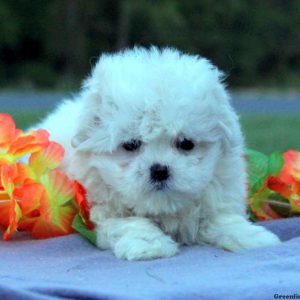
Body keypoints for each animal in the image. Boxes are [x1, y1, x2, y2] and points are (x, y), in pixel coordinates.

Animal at [35, 47, 282, 260]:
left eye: (186, 143)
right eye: (131, 144)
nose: (160, 170)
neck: (164, 209)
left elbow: (222, 219)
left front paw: (252, 237)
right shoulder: (97, 210)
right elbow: (127, 223)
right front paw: (149, 245)